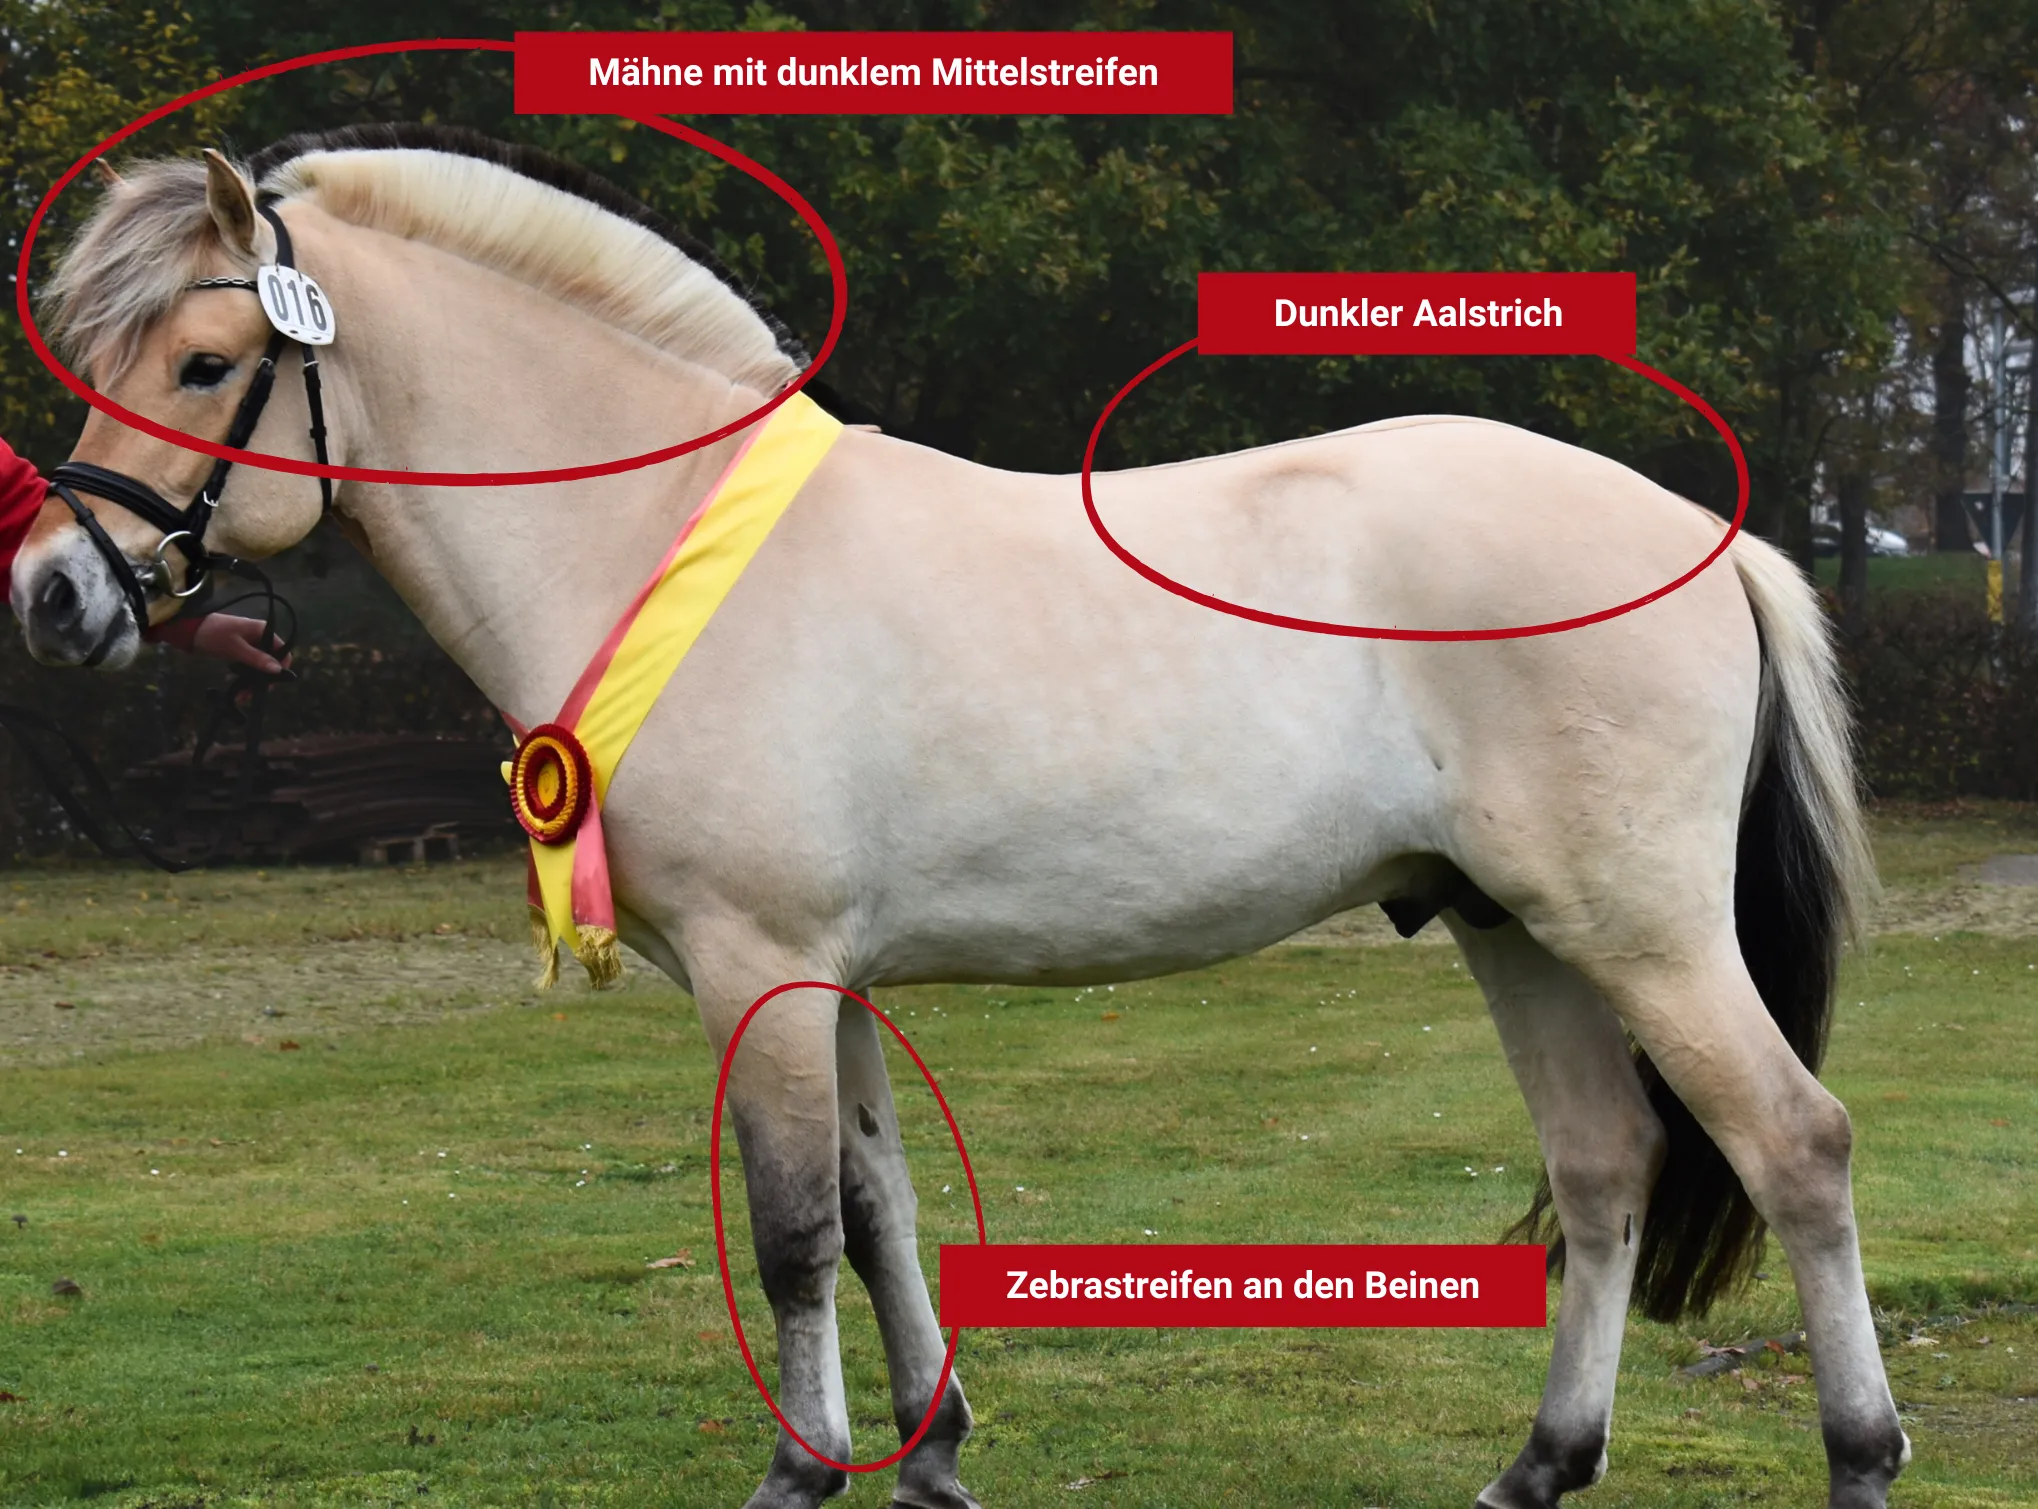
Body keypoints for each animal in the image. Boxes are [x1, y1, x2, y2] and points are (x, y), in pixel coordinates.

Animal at [13, 124, 1906, 1509]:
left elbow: (789, 1230)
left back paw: (1859, 1455)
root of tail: (1702, 534)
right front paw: (928, 1456)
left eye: (204, 359)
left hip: (1639, 929)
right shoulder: (831, 976)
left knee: (1793, 1142)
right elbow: (873, 1209)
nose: (51, 595)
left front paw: (800, 1472)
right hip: (1517, 929)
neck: (657, 535)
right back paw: (1536, 1464)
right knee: (1601, 1169)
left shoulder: (757, 965)